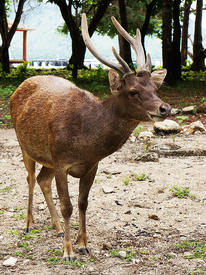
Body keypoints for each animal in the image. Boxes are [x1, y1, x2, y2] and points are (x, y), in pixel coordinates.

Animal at [9, 14, 171, 262]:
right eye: (133, 91)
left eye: (154, 87)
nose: (165, 108)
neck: (86, 142)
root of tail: (19, 86)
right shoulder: (61, 162)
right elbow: (67, 206)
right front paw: (68, 251)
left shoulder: (91, 165)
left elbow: (83, 203)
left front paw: (83, 243)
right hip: (24, 144)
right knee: (29, 178)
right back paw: (28, 224)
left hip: (48, 157)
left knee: (42, 179)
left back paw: (57, 227)